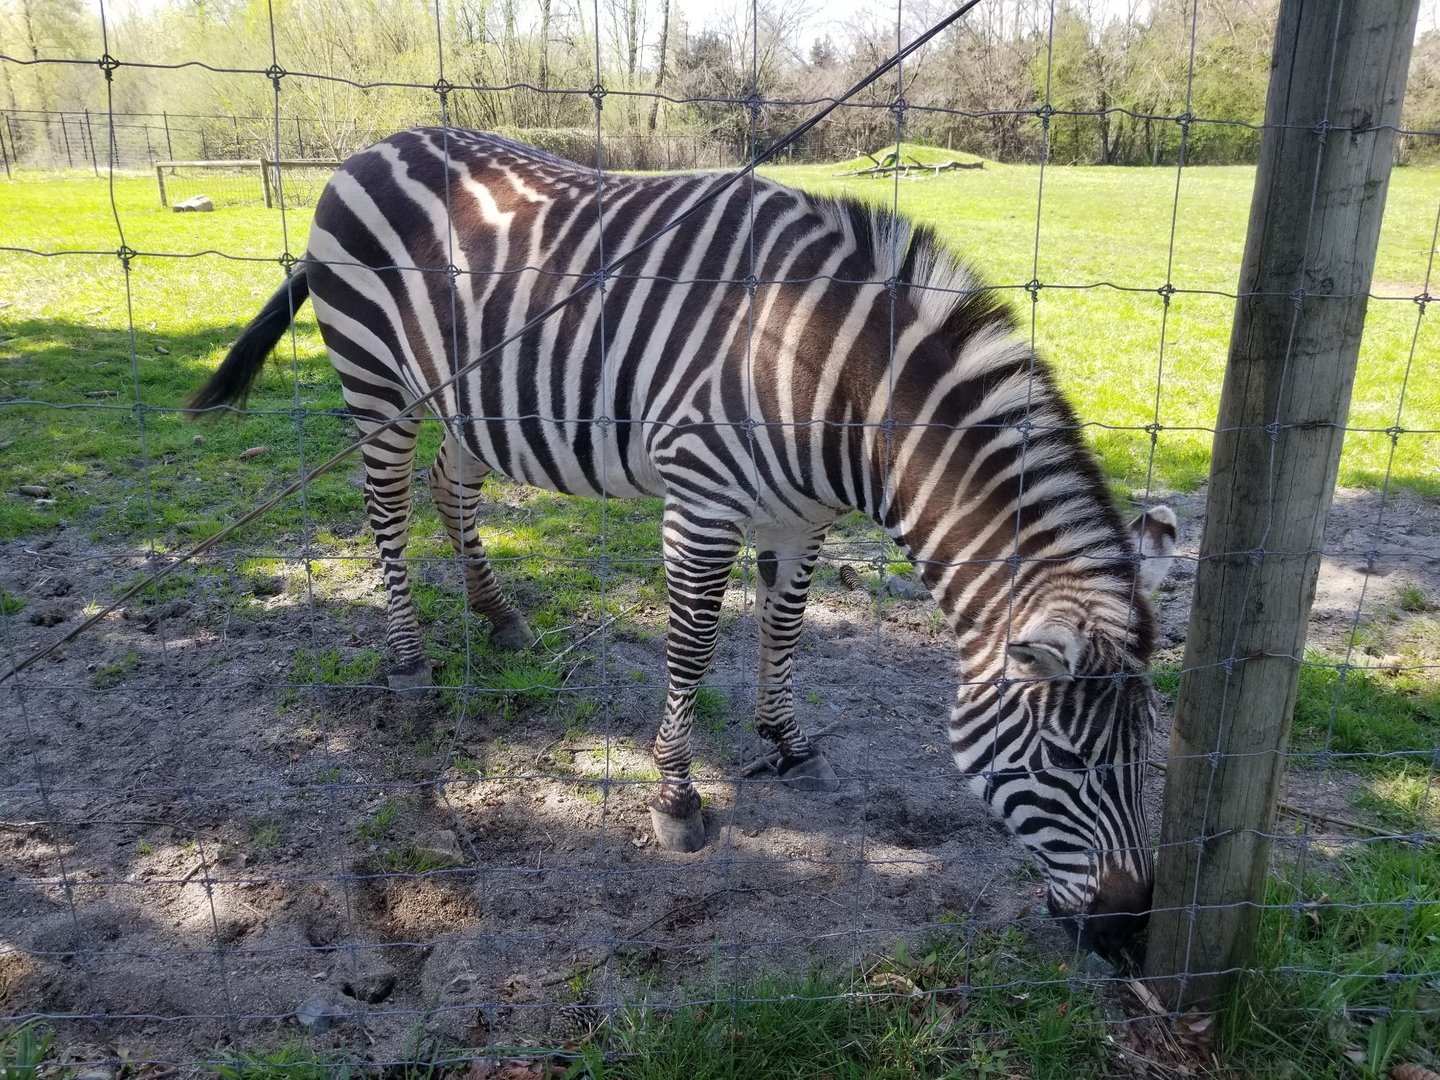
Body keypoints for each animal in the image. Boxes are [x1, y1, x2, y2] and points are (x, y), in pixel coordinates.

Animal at [190, 128, 1177, 954]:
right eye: (1065, 760)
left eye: (1149, 756)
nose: (1130, 933)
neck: (842, 385)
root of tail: (377, 143)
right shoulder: (701, 500)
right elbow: (695, 643)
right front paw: (677, 796)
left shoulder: (801, 518)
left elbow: (783, 630)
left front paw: (786, 741)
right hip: (376, 380)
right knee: (388, 510)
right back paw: (408, 663)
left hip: (471, 397)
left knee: (449, 486)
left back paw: (497, 615)